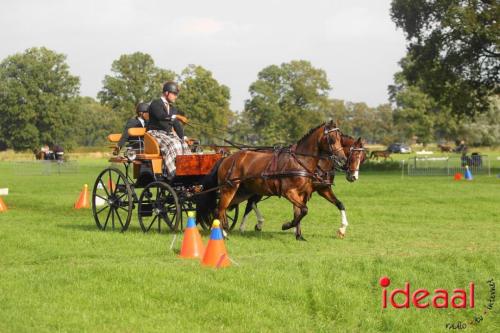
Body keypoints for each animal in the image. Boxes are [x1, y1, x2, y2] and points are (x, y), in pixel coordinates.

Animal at [196, 120, 348, 240]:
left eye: (341, 139)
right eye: (332, 138)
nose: (343, 159)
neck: (300, 161)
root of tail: (226, 158)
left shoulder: (303, 193)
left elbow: (301, 211)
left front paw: (299, 235)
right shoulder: (289, 192)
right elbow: (304, 210)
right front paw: (287, 225)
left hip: (243, 191)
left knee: (227, 208)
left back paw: (226, 230)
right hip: (229, 189)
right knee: (219, 209)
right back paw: (224, 233)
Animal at [238, 136, 368, 239]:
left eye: (362, 158)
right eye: (353, 155)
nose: (353, 177)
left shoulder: (323, 189)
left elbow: (340, 204)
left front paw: (342, 230)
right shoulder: (307, 191)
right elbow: (301, 209)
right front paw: (293, 227)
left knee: (252, 203)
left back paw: (256, 224)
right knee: (250, 203)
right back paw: (245, 226)